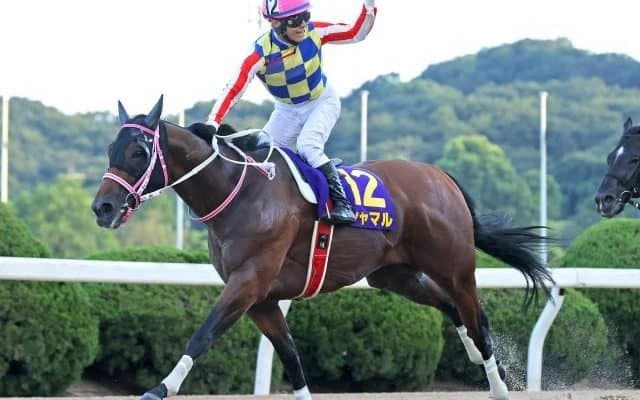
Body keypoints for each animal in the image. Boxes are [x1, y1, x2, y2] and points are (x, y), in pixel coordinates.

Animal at [91, 95, 553, 400]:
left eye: (138, 151)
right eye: (111, 149)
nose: (102, 207)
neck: (240, 190)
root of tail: (439, 175)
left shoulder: (248, 283)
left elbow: (202, 335)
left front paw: (159, 388)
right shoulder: (262, 299)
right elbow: (291, 358)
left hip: (455, 267)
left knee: (479, 320)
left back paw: (497, 383)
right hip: (395, 275)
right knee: (451, 308)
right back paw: (477, 358)